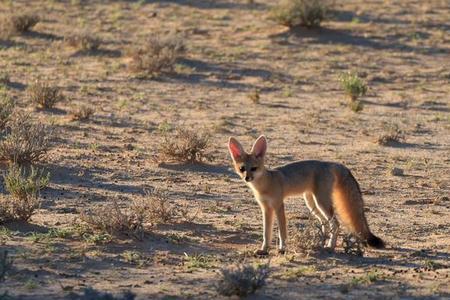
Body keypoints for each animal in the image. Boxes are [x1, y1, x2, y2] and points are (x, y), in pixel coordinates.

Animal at [227, 136, 384, 255]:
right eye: (242, 168)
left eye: (254, 168)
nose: (247, 178)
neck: (265, 184)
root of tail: (332, 163)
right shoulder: (265, 208)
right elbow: (266, 233)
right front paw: (263, 250)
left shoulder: (278, 206)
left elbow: (282, 231)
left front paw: (282, 249)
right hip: (311, 203)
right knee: (324, 223)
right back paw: (321, 244)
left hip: (321, 202)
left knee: (335, 223)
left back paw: (330, 246)